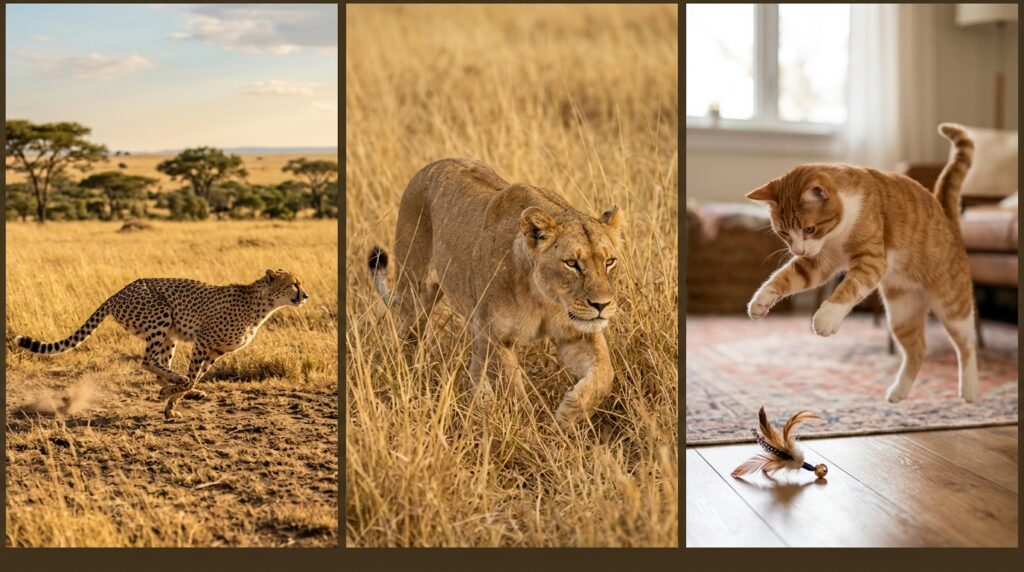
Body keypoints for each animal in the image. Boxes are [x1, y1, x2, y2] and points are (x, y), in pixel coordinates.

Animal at [14, 269, 309, 419]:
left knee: (158, 365)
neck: (263, 304)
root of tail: (120, 290)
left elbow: (196, 377)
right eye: (294, 284)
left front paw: (171, 405)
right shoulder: (203, 340)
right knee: (148, 361)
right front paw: (172, 395)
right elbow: (192, 376)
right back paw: (173, 384)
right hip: (160, 317)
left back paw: (175, 388)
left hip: (169, 335)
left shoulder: (215, 351)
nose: (305, 295)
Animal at [368, 158, 625, 429]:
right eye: (572, 264)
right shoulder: (497, 337)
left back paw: (481, 405)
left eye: (609, 261)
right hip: (416, 293)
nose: (602, 305)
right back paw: (412, 379)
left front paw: (568, 414)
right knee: (408, 338)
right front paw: (530, 433)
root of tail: (429, 166)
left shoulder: (576, 333)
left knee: (474, 366)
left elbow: (605, 374)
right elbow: (515, 397)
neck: (544, 298)